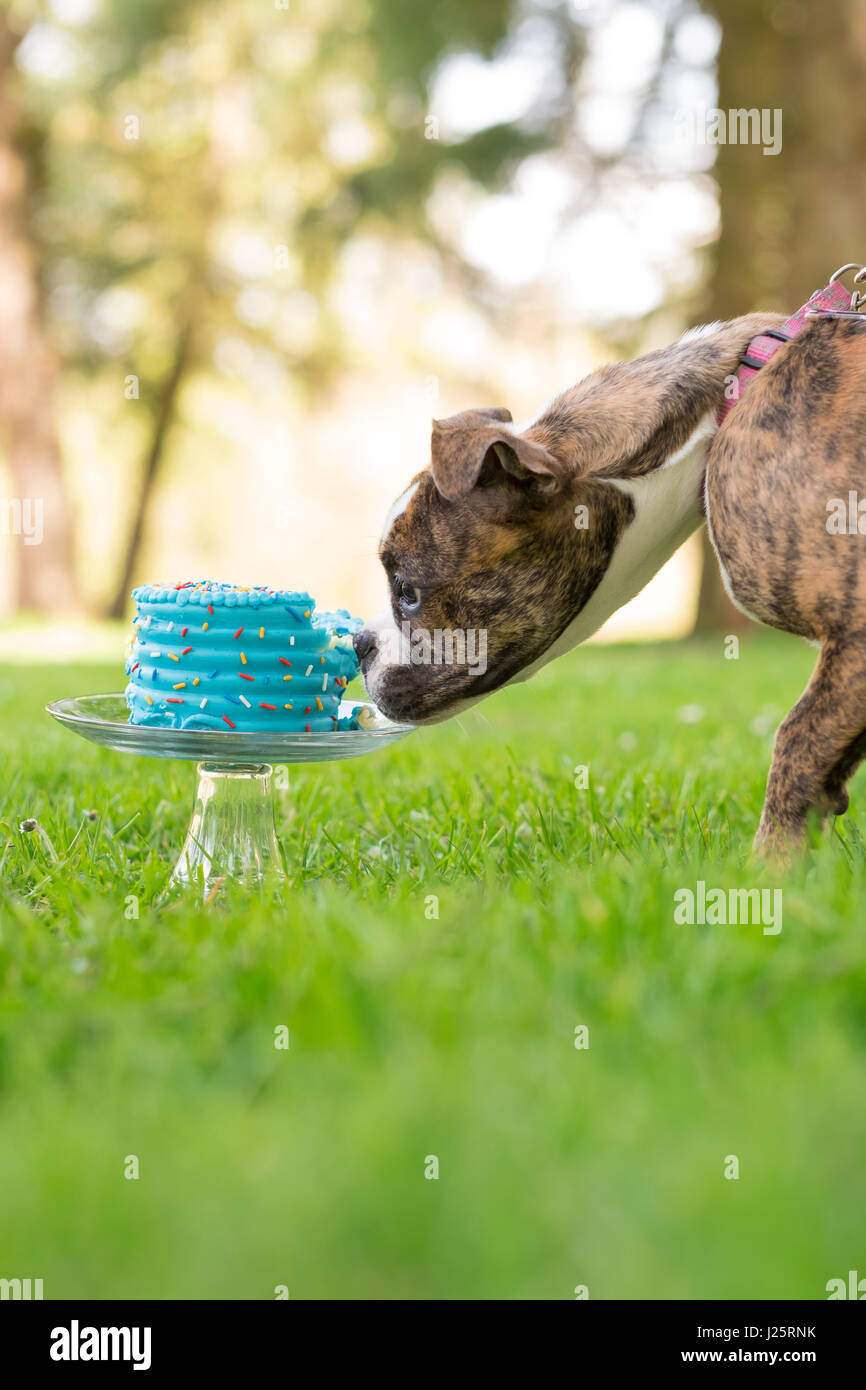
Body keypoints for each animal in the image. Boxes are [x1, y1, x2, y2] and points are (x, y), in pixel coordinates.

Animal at [355, 314, 866, 856]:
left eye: (408, 592)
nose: (359, 642)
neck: (718, 411)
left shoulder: (853, 631)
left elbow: (794, 745)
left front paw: (771, 866)